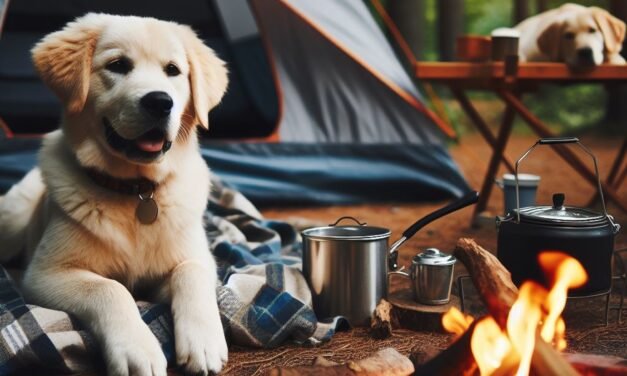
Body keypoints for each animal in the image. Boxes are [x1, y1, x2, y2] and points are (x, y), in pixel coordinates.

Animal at [0, 13, 229, 374]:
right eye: (118, 65)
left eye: (173, 70)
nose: (160, 102)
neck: (137, 192)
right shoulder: (44, 275)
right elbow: (109, 288)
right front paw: (137, 349)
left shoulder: (195, 258)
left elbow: (190, 272)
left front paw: (203, 341)